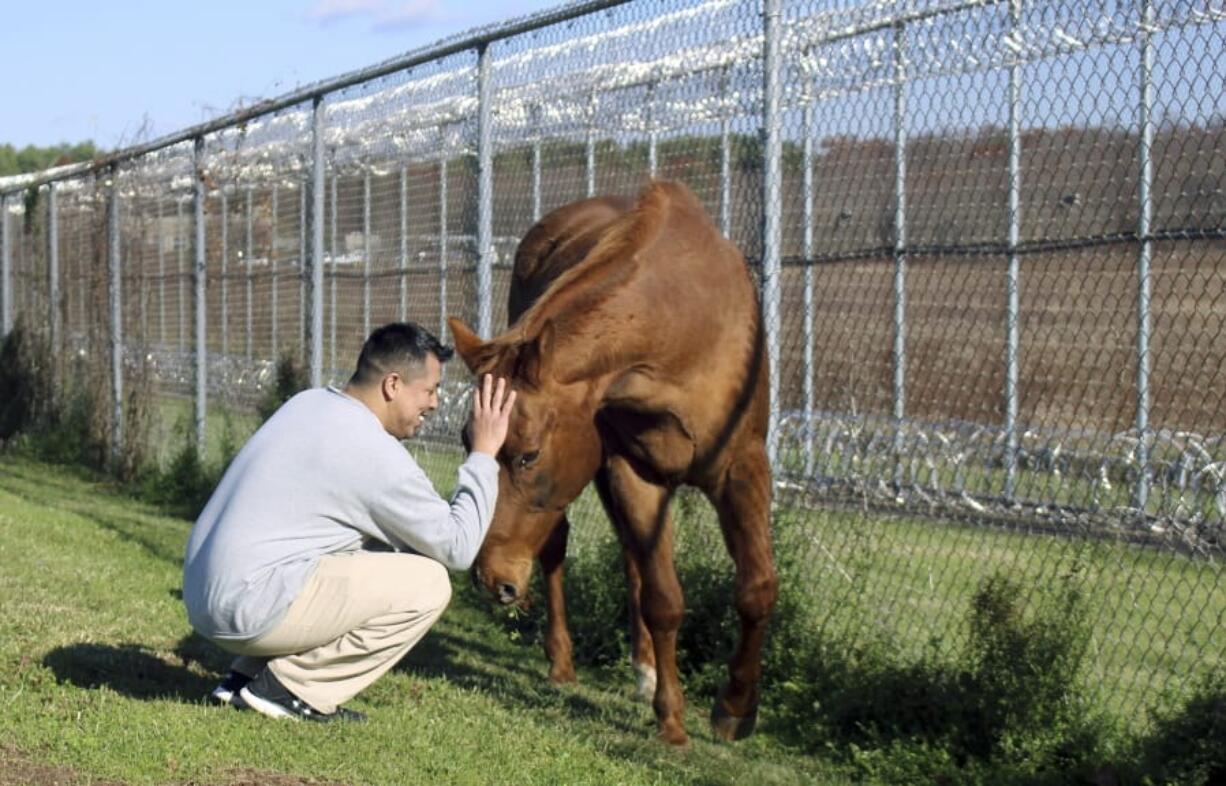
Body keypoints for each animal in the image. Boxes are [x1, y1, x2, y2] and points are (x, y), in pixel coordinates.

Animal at [451, 181, 774, 745]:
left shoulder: (742, 465)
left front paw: (735, 708)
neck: (680, 323)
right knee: (563, 546)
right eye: (467, 439)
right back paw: (566, 662)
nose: (491, 579)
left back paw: (645, 671)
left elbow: (756, 588)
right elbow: (664, 598)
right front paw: (672, 719)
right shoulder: (631, 470)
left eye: (528, 454)